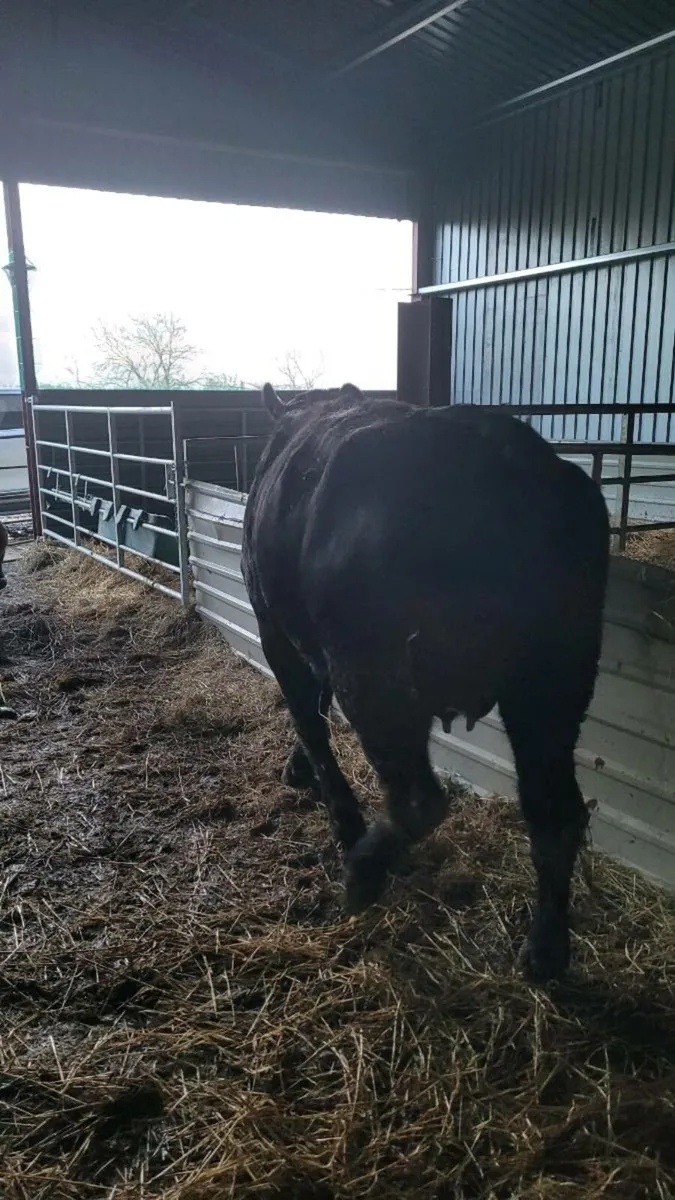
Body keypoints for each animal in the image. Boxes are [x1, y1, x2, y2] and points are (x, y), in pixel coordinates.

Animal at [242, 383, 609, 982]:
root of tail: (501, 455)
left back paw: (363, 870)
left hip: (378, 676)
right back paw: (546, 950)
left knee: (419, 800)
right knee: (555, 813)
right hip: (552, 685)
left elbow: (309, 719)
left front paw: (336, 812)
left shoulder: (277, 631)